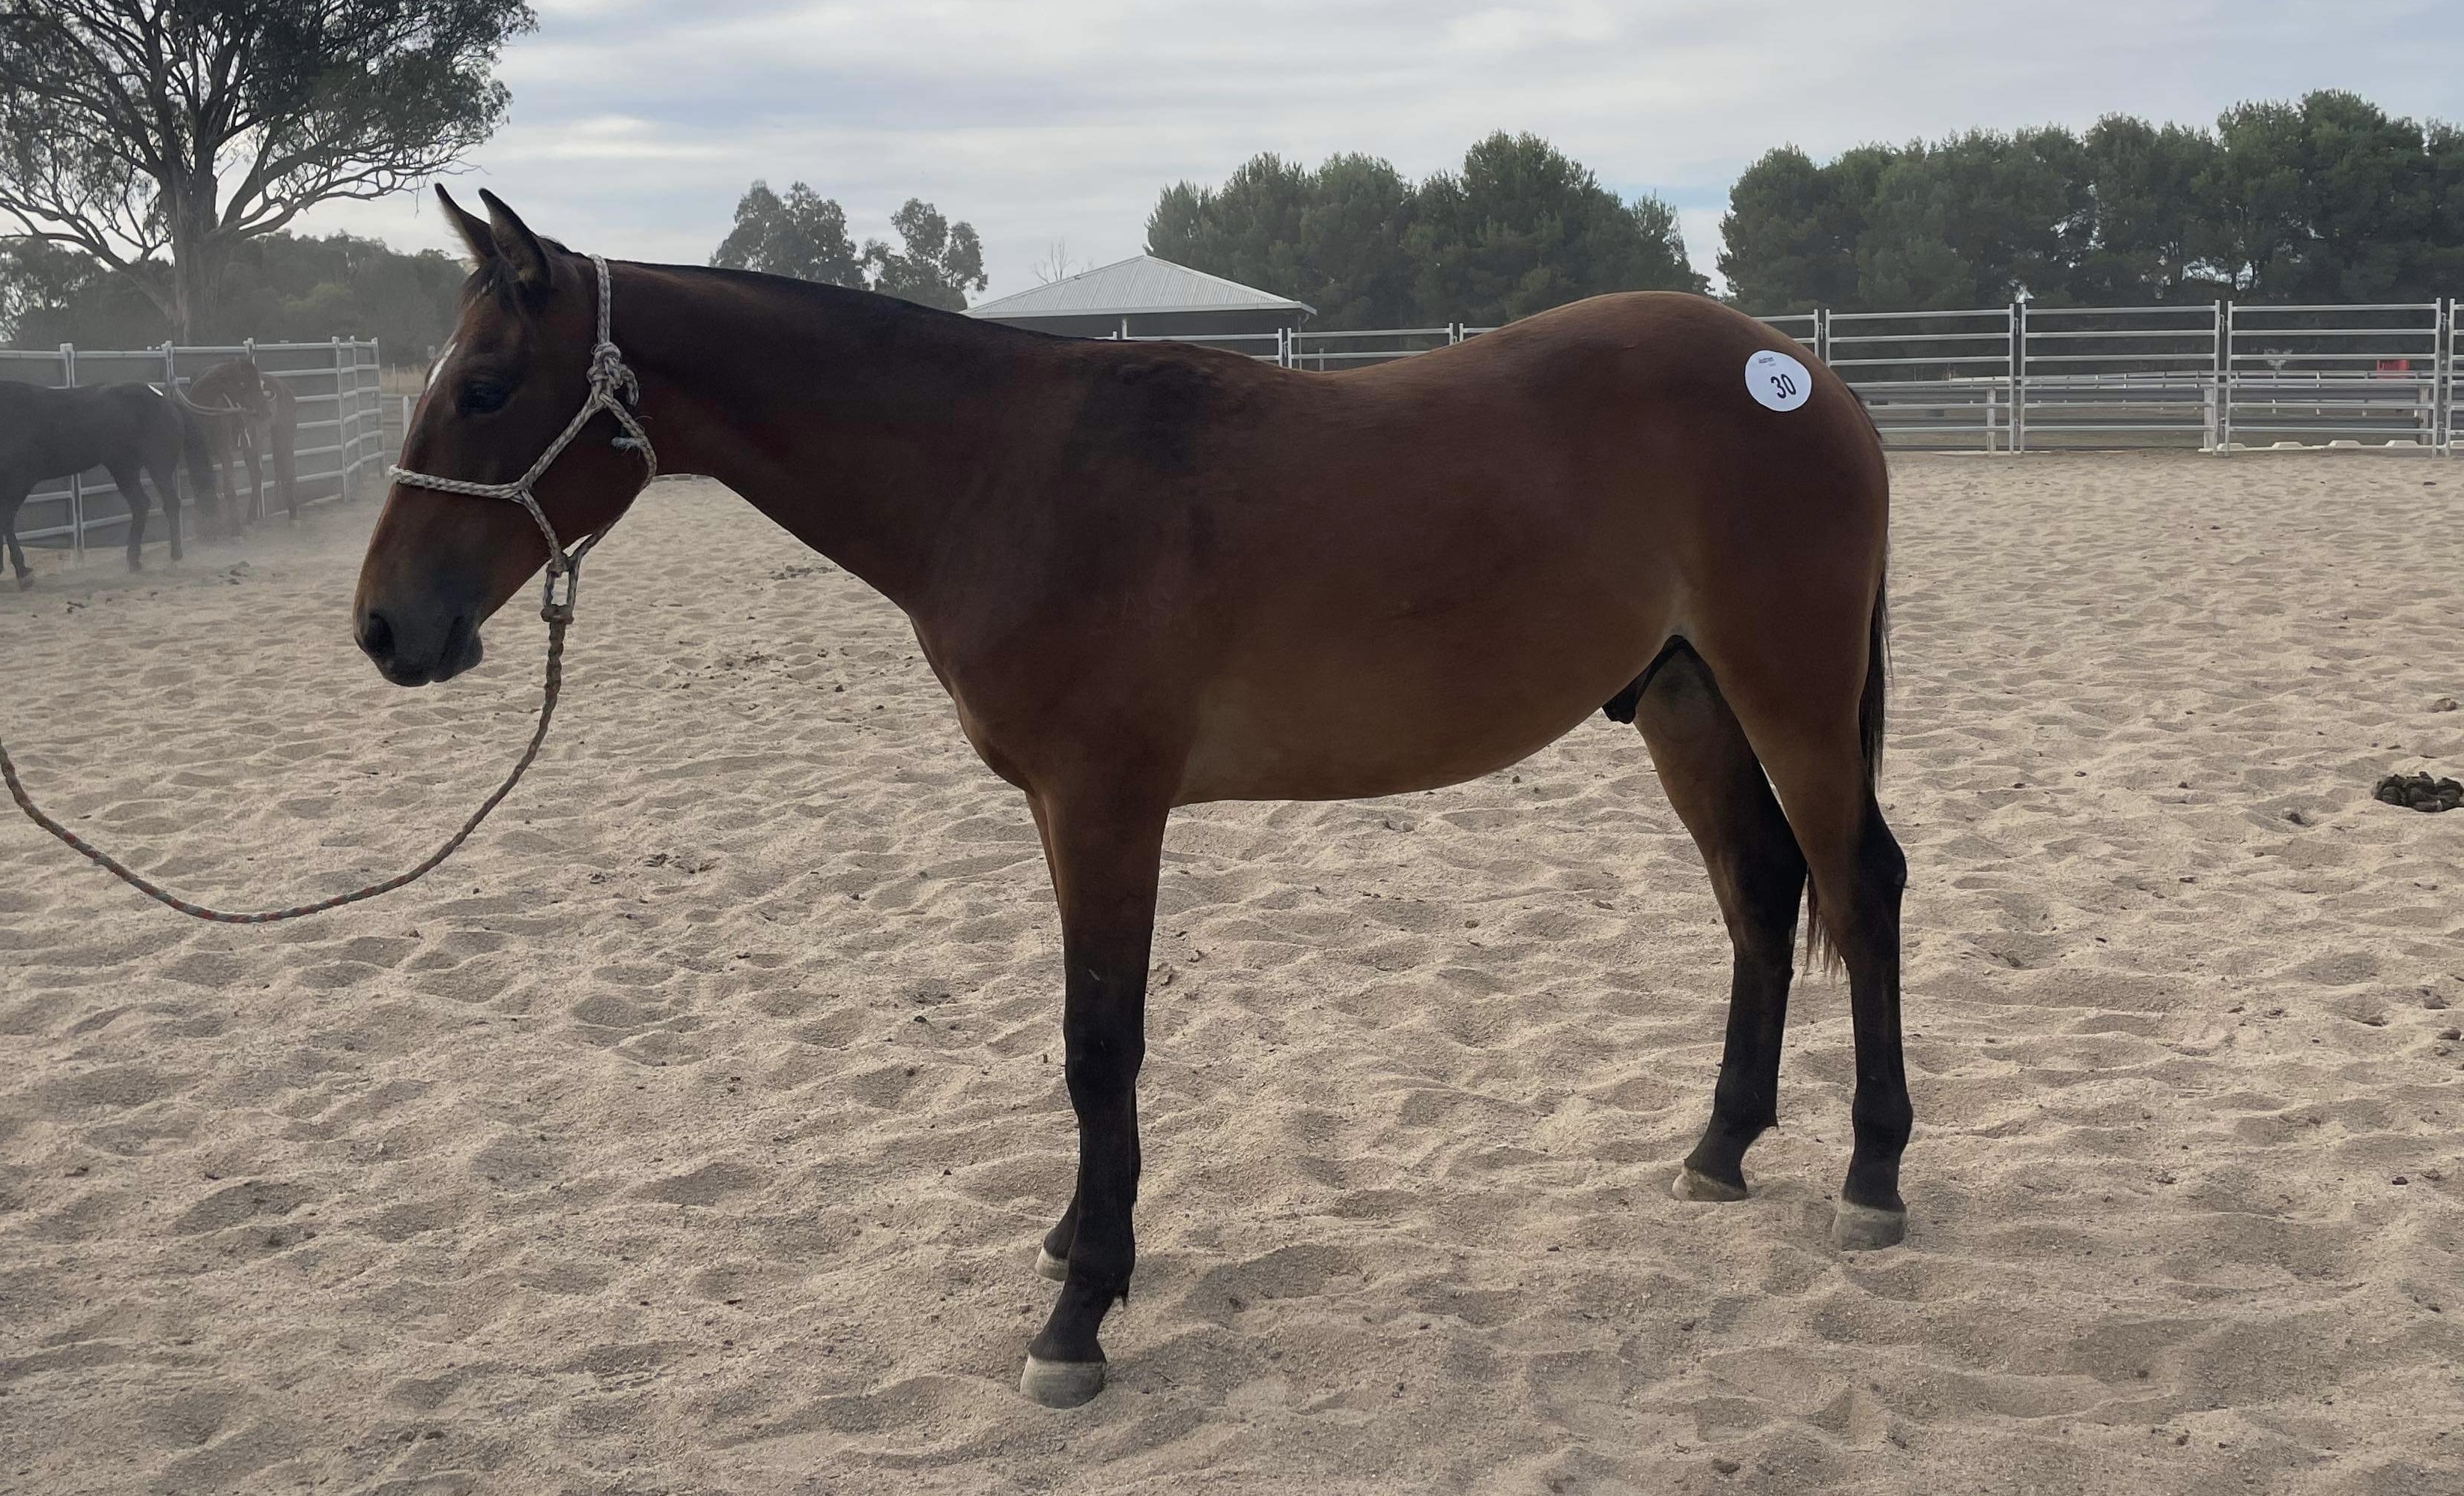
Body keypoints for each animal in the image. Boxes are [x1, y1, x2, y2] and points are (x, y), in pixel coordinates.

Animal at [0, 380, 216, 586]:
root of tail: (167, 402)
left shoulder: (19, 482)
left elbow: (6, 521)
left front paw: (23, 573)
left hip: (158, 467)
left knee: (170, 504)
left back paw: (174, 559)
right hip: (124, 469)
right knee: (141, 504)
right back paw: (134, 561)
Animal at [353, 188, 1908, 1409]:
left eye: (486, 386)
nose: (384, 628)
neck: (1006, 476)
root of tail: (1798, 370)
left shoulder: (1106, 803)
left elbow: (1099, 1046)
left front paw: (1078, 1315)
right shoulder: (1060, 810)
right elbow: (1086, 1045)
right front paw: (1070, 1242)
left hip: (1789, 695)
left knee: (1860, 884)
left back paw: (1872, 1181)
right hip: (1688, 702)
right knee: (1762, 891)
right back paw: (1720, 1148)